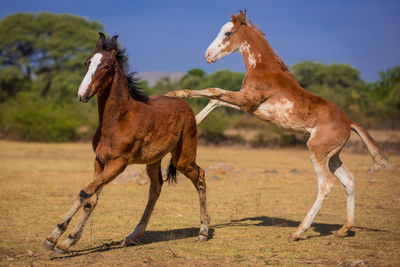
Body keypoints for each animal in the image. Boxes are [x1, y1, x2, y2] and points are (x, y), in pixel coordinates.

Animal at [44, 32, 211, 254]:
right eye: (87, 62)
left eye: (106, 66)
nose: (82, 94)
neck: (117, 120)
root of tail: (186, 107)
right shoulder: (99, 161)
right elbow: (91, 198)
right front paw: (63, 240)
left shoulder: (118, 164)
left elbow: (85, 192)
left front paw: (58, 239)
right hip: (153, 161)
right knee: (155, 188)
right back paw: (133, 235)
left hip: (183, 157)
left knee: (200, 176)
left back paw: (203, 231)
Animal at [166, 11, 394, 243]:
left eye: (228, 33)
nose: (208, 55)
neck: (262, 69)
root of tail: (348, 122)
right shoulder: (248, 105)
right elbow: (216, 100)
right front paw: (193, 118)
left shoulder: (247, 99)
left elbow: (214, 91)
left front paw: (176, 94)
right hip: (333, 157)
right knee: (349, 181)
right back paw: (343, 228)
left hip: (317, 151)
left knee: (326, 185)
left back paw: (298, 232)